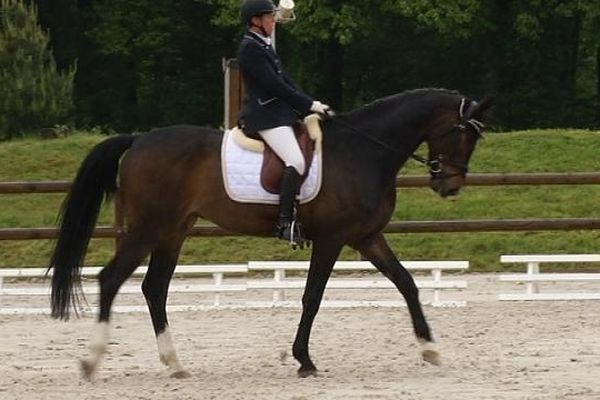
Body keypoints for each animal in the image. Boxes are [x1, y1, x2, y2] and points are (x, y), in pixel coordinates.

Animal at [48, 86, 492, 378]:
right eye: (463, 132)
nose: (450, 186)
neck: (363, 151)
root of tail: (139, 140)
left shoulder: (365, 237)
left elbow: (407, 283)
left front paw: (430, 349)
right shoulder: (332, 238)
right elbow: (312, 297)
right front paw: (304, 360)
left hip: (173, 232)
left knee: (154, 288)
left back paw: (175, 364)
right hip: (147, 229)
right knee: (111, 279)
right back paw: (91, 362)